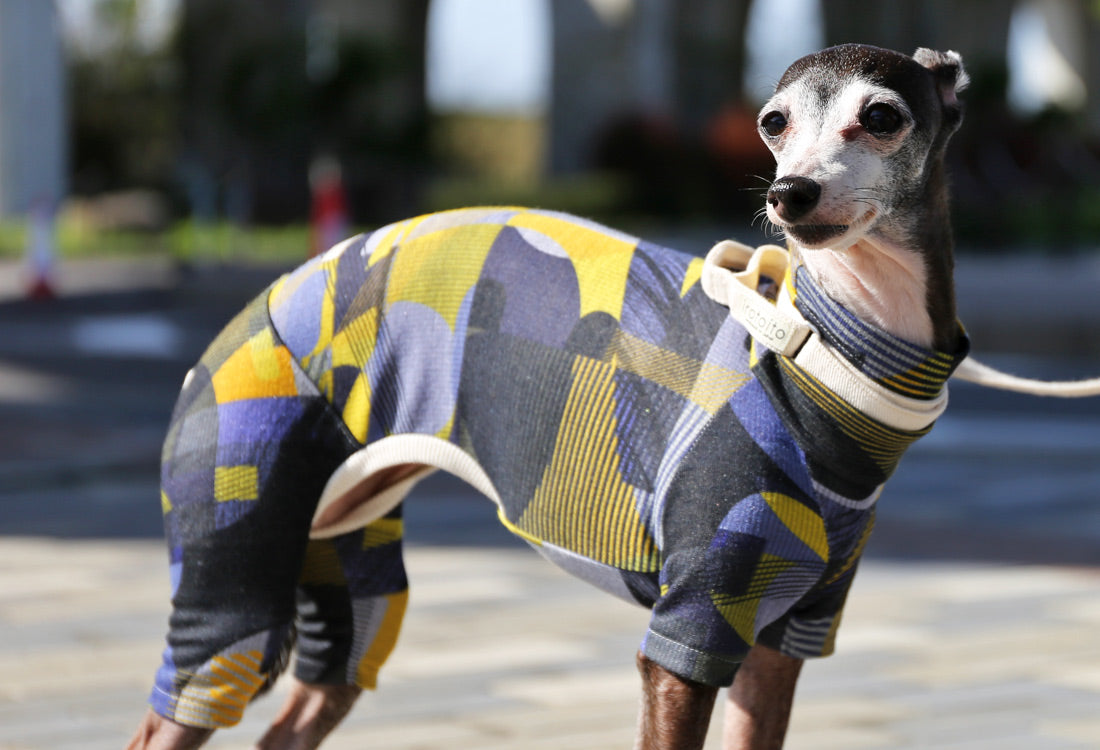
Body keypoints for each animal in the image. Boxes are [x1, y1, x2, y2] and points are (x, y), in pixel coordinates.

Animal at [130, 46, 972, 747]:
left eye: (882, 116)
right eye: (774, 122)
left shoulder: (785, 637)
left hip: (351, 584)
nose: (791, 194)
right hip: (232, 584)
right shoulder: (689, 631)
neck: (825, 354)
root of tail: (263, 303)